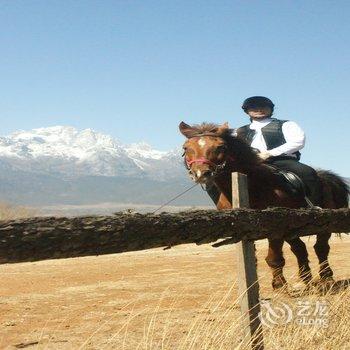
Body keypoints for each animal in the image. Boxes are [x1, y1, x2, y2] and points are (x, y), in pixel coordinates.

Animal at [179, 120, 348, 290]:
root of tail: (324, 177)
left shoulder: (276, 228)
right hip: (293, 228)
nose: (200, 173)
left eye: (221, 147)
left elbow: (274, 257)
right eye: (186, 148)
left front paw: (279, 285)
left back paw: (327, 278)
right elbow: (252, 260)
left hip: (324, 224)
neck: (253, 186)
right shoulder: (243, 230)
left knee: (321, 248)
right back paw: (305, 279)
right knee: (300, 248)